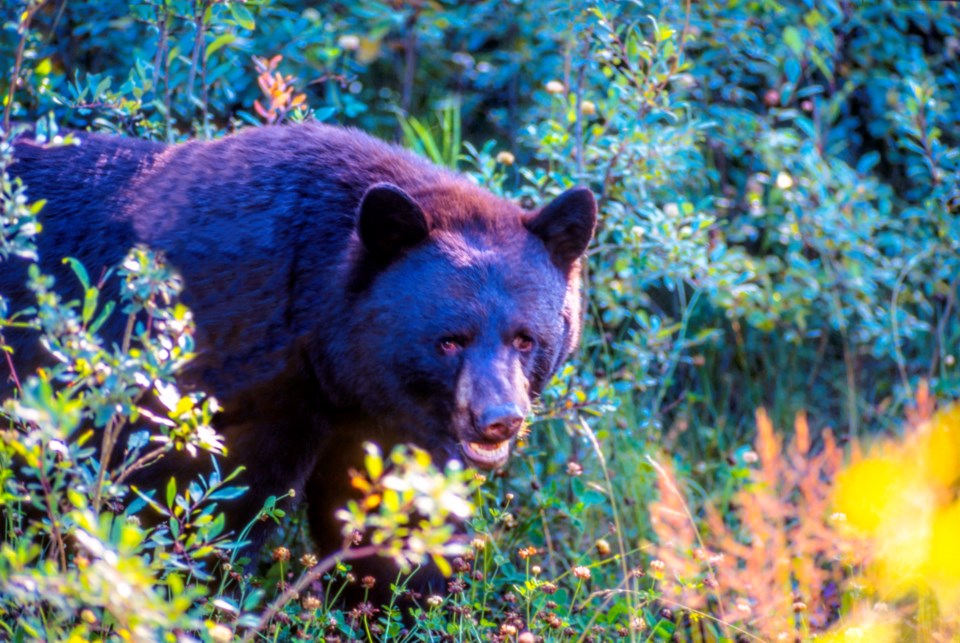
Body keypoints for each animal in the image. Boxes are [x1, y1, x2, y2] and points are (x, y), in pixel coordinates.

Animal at [1, 122, 592, 588]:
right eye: (449, 340)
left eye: (525, 338)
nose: (498, 419)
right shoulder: (219, 393)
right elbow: (193, 516)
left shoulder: (380, 418)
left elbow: (397, 524)